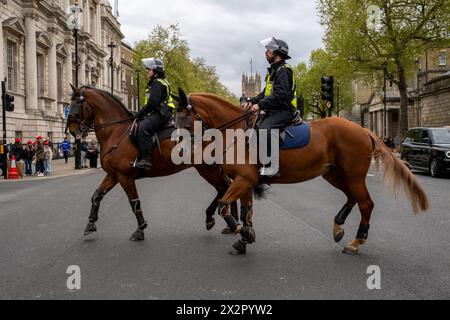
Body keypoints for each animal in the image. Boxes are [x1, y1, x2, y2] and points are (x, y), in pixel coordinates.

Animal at [66, 86, 239, 241]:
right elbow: (97, 195)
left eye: (77, 103)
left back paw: (219, 219)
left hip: (207, 169)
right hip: (213, 169)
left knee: (223, 187)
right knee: (227, 187)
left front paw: (140, 229)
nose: (72, 130)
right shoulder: (113, 175)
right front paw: (90, 224)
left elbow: (134, 202)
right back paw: (227, 221)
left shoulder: (125, 176)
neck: (116, 132)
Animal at [177, 90, 428, 255]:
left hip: (353, 176)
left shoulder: (244, 179)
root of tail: (363, 129)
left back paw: (357, 241)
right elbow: (246, 211)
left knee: (366, 203)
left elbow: (223, 206)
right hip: (334, 174)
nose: (182, 150)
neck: (237, 132)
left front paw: (240, 231)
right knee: (352, 198)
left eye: (183, 118)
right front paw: (244, 237)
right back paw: (338, 227)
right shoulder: (244, 180)